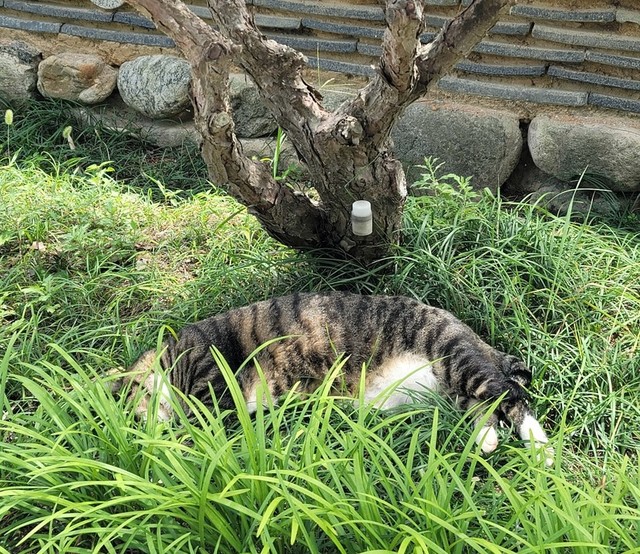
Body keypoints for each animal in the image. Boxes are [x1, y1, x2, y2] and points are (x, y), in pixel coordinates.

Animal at [112, 291, 551, 461]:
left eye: (131, 407)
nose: (141, 432)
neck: (169, 358)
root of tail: (470, 331)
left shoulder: (210, 373)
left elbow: (206, 420)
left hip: (453, 353)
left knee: (512, 394)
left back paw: (541, 448)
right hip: (452, 385)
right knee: (485, 404)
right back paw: (486, 439)